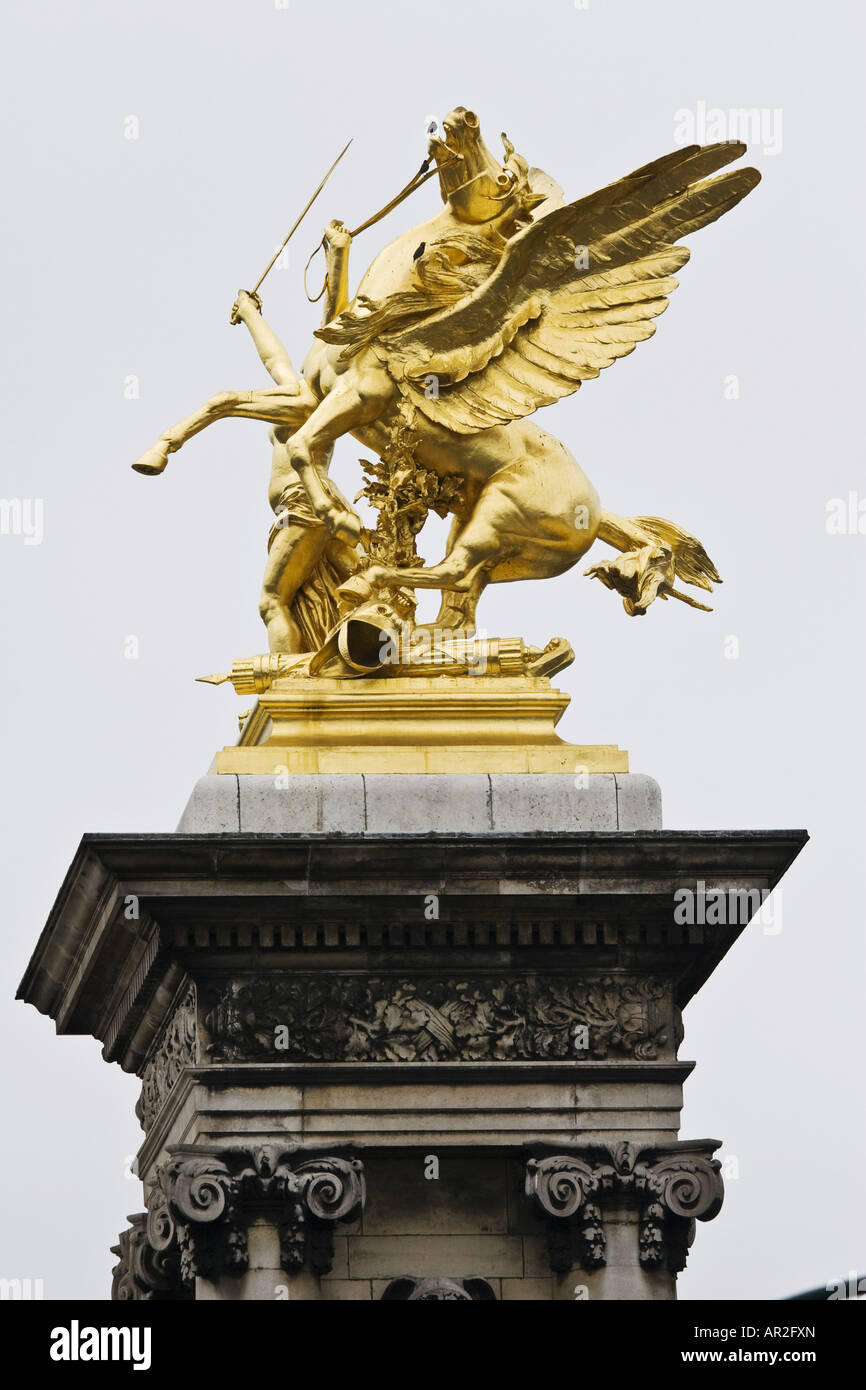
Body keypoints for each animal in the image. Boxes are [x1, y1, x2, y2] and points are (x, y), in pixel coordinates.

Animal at [130, 108, 756, 650]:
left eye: (503, 175)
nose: (459, 116)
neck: (386, 321)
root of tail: (598, 512)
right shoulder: (310, 396)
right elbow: (225, 400)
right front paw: (152, 456)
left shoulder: (358, 398)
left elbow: (304, 446)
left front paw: (341, 519)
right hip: (494, 535)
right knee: (461, 605)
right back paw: (410, 628)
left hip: (500, 515)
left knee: (454, 573)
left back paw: (366, 587)